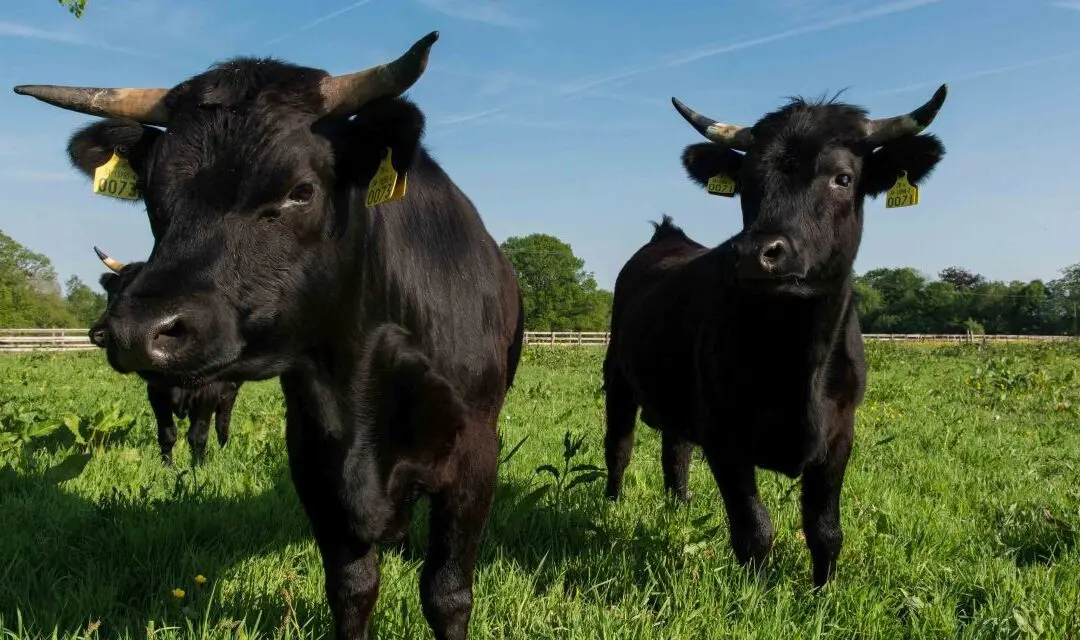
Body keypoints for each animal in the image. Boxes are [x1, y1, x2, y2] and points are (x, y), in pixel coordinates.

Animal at [89, 247, 243, 467]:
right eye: (111, 294)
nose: (99, 334)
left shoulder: (208, 395)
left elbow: (198, 436)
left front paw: (197, 467)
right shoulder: (156, 393)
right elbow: (167, 434)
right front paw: (167, 466)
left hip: (231, 391)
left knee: (223, 421)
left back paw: (223, 448)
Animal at [601, 85, 949, 589]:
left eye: (843, 177)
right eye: (745, 181)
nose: (754, 253)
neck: (796, 356)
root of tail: (667, 236)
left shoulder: (840, 432)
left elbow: (825, 528)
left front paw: (823, 592)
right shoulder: (723, 433)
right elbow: (754, 527)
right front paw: (754, 593)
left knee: (676, 450)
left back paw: (679, 509)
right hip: (618, 378)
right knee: (620, 447)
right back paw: (610, 505)